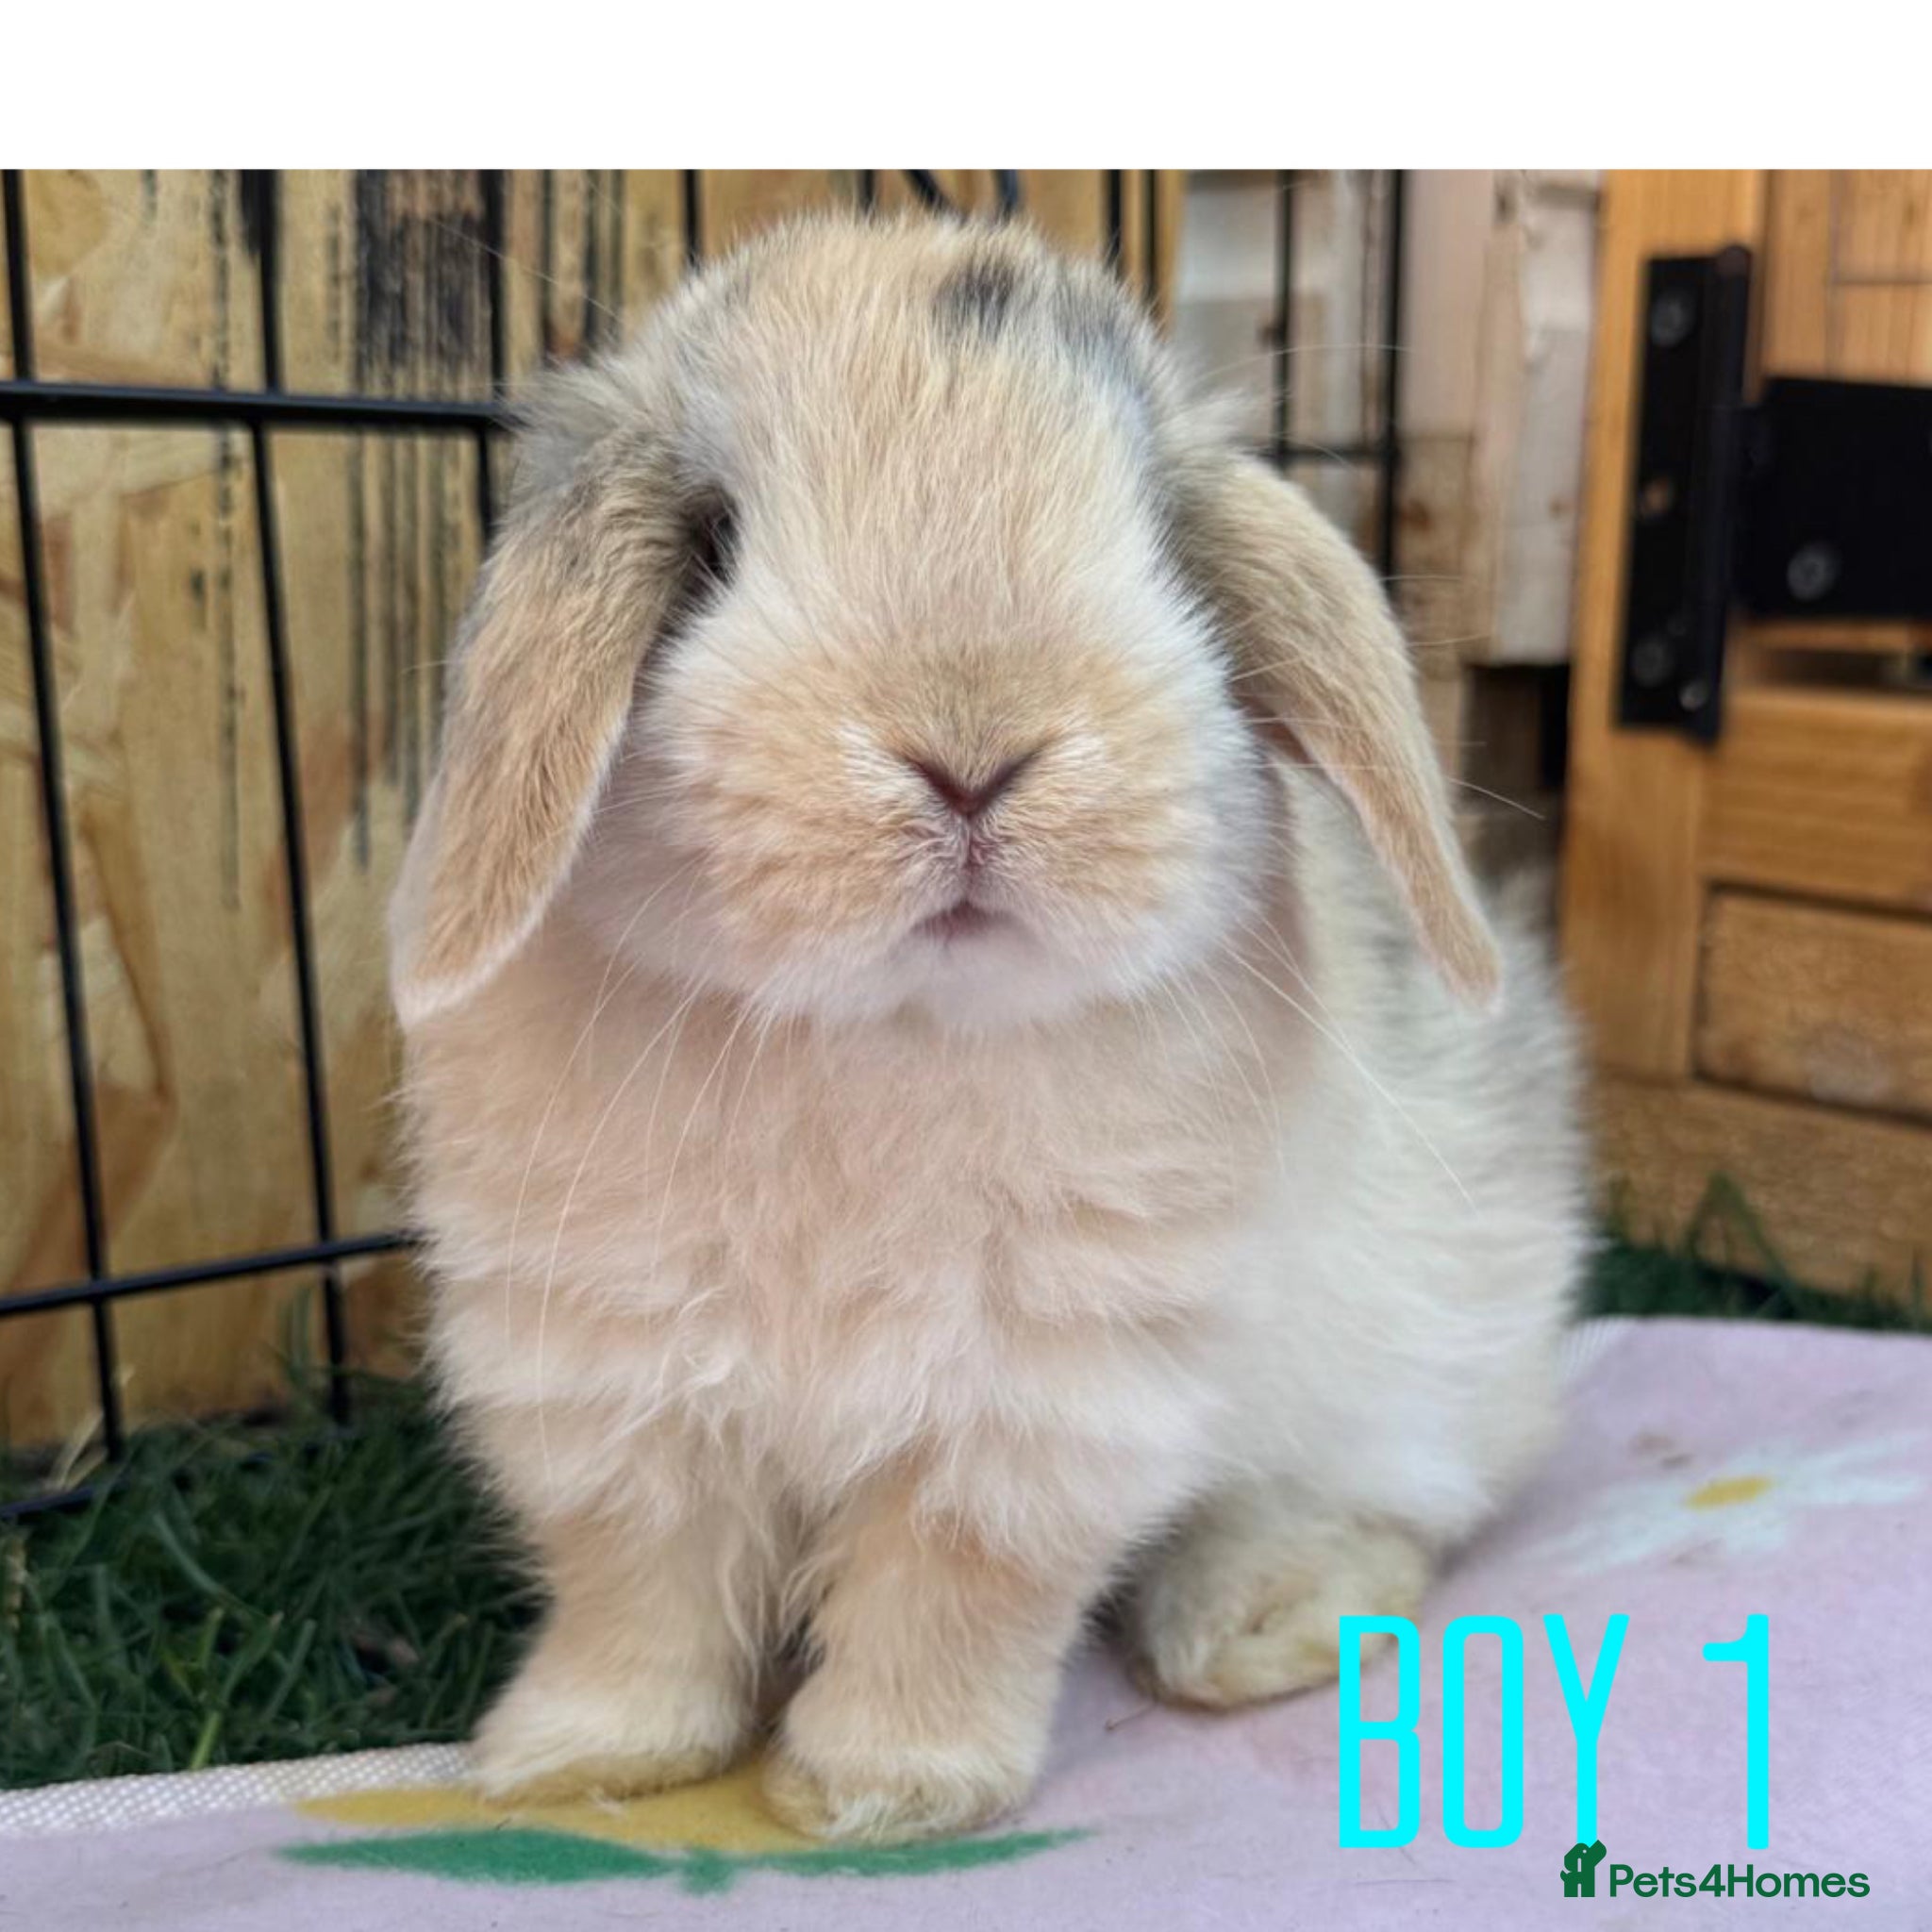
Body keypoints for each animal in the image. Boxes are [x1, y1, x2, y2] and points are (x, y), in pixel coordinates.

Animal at [389, 212, 1588, 1846]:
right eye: (710, 542)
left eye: (1160, 551)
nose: (972, 748)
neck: (885, 1035)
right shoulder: (606, 1380)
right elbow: (641, 1589)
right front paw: (574, 1763)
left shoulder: (1039, 1400)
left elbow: (951, 1593)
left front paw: (877, 1792)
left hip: (1418, 1368)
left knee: (1391, 1511)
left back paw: (1250, 1626)